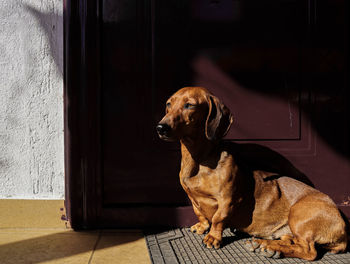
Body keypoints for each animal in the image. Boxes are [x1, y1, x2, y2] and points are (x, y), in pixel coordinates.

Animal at [157, 86, 348, 260]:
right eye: (168, 104)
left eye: (189, 105)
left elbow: (218, 218)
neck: (199, 160)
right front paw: (202, 226)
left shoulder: (227, 200)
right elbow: (199, 212)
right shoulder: (192, 197)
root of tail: (343, 227)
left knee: (308, 251)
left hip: (299, 215)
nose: (161, 127)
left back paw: (268, 246)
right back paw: (267, 245)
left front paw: (212, 237)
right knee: (291, 242)